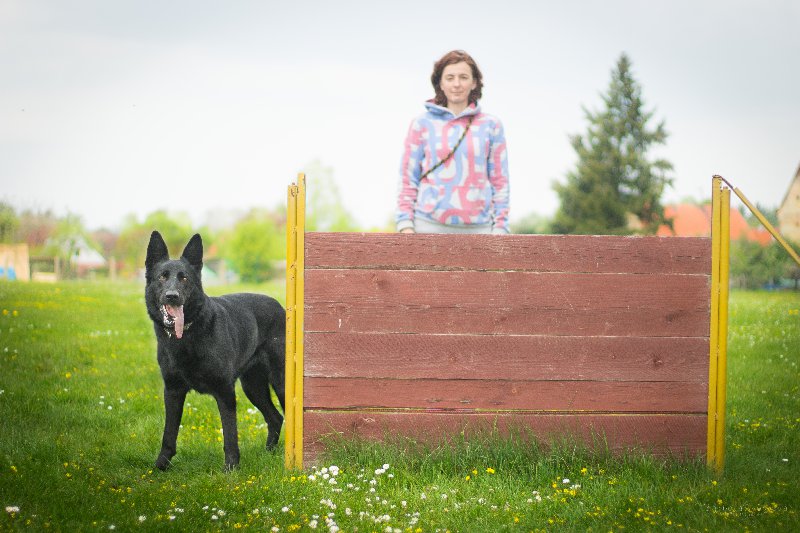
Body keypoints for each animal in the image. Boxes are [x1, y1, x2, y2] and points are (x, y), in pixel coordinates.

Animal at [145, 231, 286, 468]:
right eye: (162, 277)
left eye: (184, 278)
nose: (172, 296)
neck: (188, 335)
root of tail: (282, 308)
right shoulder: (173, 390)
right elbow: (169, 433)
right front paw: (161, 465)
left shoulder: (225, 391)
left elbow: (230, 433)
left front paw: (231, 467)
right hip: (253, 386)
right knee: (276, 417)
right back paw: (269, 452)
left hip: (280, 382)